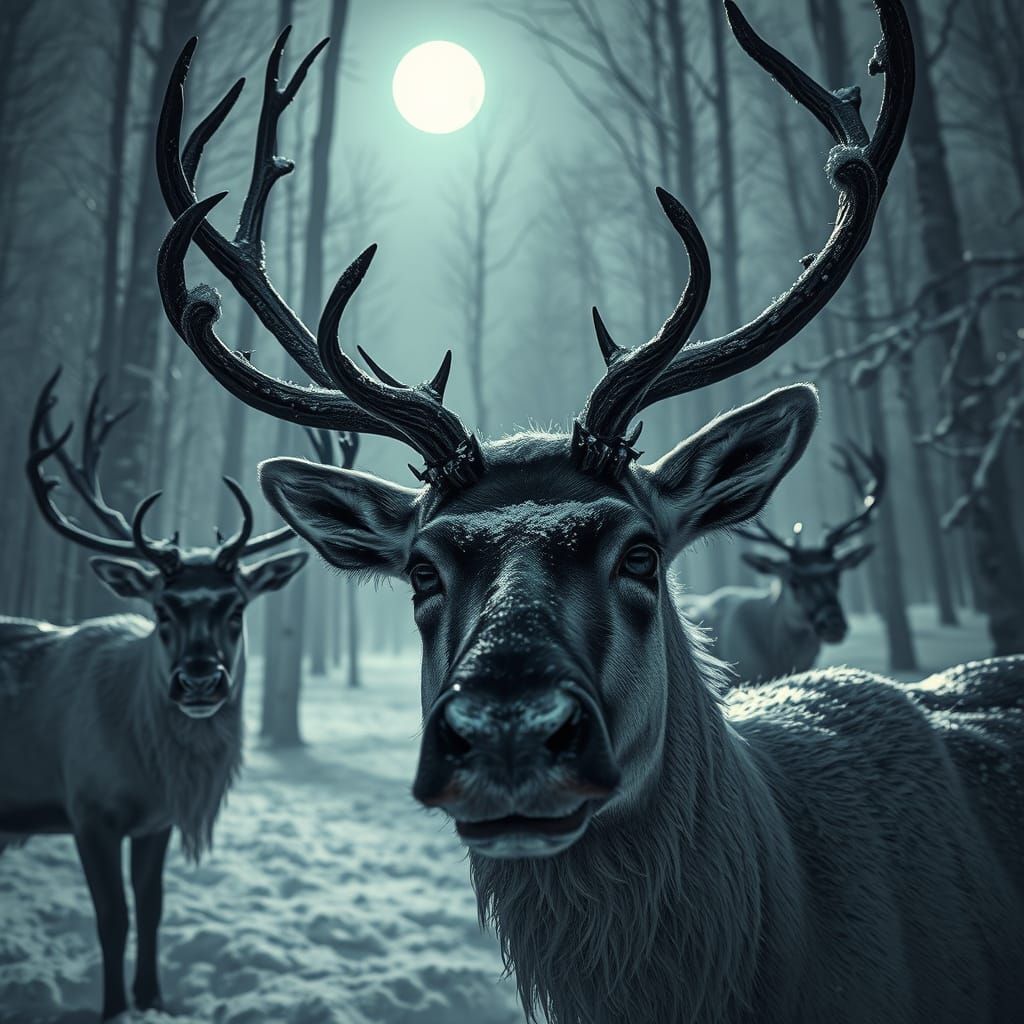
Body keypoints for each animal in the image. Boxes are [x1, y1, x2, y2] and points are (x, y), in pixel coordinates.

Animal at [0, 372, 315, 1021]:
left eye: (237, 608)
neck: (148, 766)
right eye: (162, 609)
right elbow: (112, 917)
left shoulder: (155, 821)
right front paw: (114, 1006)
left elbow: (152, 909)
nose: (198, 681)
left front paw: (154, 999)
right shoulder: (87, 810)